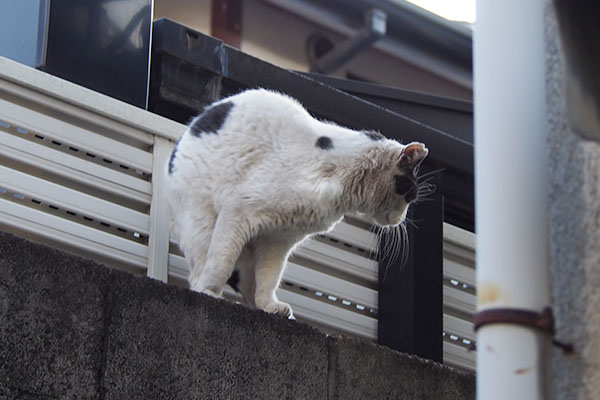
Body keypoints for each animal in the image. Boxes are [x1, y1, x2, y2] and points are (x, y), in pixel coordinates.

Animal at [164, 88, 426, 318]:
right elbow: (221, 263)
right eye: (410, 195)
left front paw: (268, 305)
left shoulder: (278, 239)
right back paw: (207, 290)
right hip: (200, 226)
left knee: (248, 282)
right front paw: (209, 292)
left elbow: (268, 279)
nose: (401, 219)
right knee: (202, 268)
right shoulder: (238, 212)